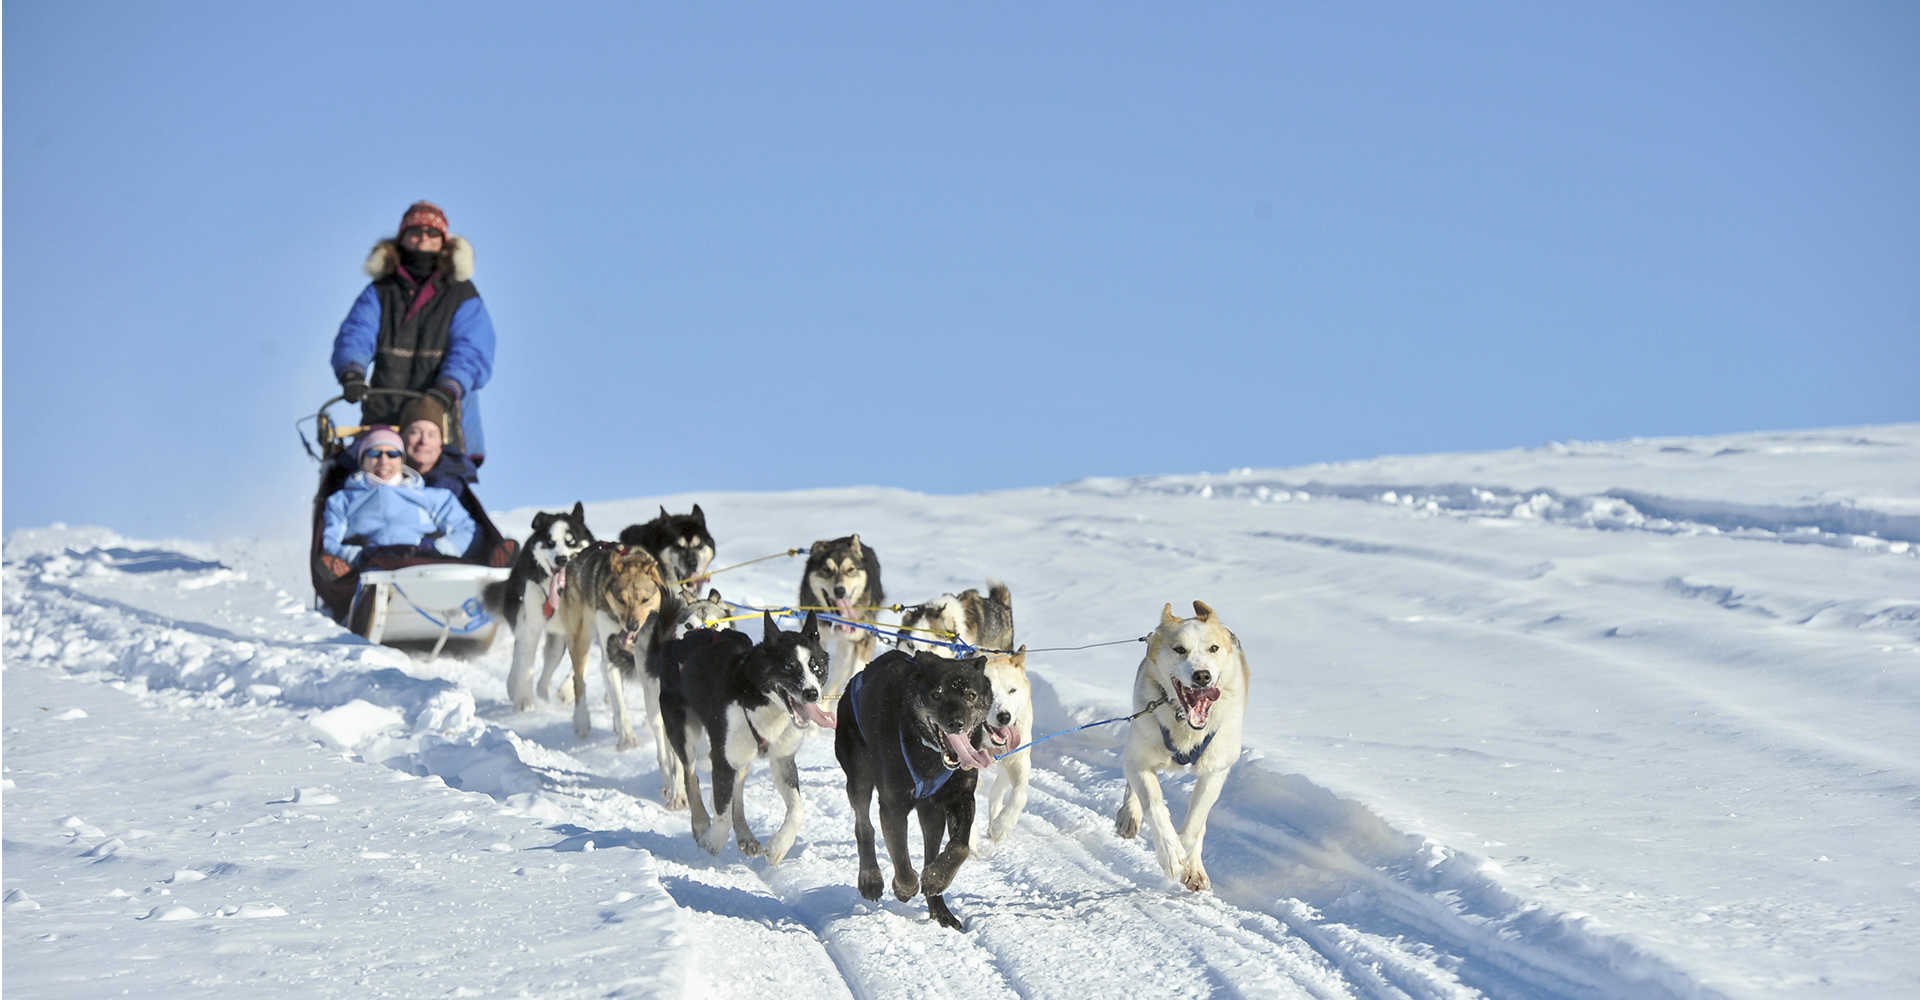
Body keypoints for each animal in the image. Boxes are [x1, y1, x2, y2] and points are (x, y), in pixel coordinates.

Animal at [660, 602, 833, 859]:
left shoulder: (782, 759)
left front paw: (779, 846)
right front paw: (712, 841)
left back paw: (745, 835)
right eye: (789, 666)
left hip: (743, 757)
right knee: (691, 777)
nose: (812, 693)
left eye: (816, 667)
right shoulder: (722, 759)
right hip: (684, 734)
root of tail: (683, 639)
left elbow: (797, 809)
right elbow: (722, 812)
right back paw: (701, 824)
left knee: (738, 791)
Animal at [837, 648, 998, 928]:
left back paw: (939, 906)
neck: (928, 752)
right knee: (864, 826)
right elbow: (901, 857)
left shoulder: (961, 797)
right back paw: (871, 878)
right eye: (937, 694)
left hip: (931, 814)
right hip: (859, 777)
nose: (957, 722)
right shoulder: (892, 806)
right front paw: (904, 888)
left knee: (931, 850)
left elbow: (960, 847)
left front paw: (935, 878)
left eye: (971, 695)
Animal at [1121, 598, 1251, 890]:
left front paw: (1186, 858)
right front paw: (1170, 853)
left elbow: (1195, 825)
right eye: (1180, 649)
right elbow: (1154, 804)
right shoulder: (1141, 759)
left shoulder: (1215, 770)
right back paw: (1128, 815)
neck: (1184, 724)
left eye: (1213, 648)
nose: (1202, 675)